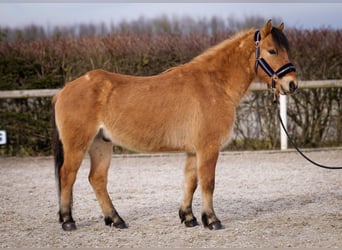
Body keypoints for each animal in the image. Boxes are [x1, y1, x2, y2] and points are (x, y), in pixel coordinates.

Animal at [52, 19, 298, 230]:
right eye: (272, 50)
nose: (292, 84)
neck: (215, 85)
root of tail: (64, 90)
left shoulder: (193, 151)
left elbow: (191, 182)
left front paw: (189, 218)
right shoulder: (208, 148)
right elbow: (208, 182)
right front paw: (212, 220)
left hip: (101, 143)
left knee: (97, 179)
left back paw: (115, 219)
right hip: (78, 145)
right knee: (67, 175)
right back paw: (68, 220)